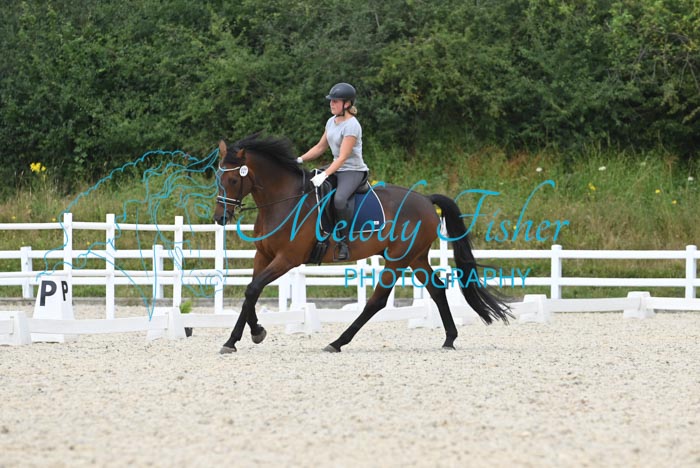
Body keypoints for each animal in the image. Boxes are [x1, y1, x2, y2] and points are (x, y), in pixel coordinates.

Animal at [213, 133, 512, 354]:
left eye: (233, 179)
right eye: (218, 178)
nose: (220, 217)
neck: (283, 201)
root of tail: (426, 201)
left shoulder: (287, 259)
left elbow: (253, 289)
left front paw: (250, 335)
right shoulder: (263, 256)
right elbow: (250, 293)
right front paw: (241, 337)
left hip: (398, 259)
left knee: (377, 301)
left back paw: (337, 343)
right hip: (415, 257)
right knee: (437, 290)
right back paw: (449, 338)